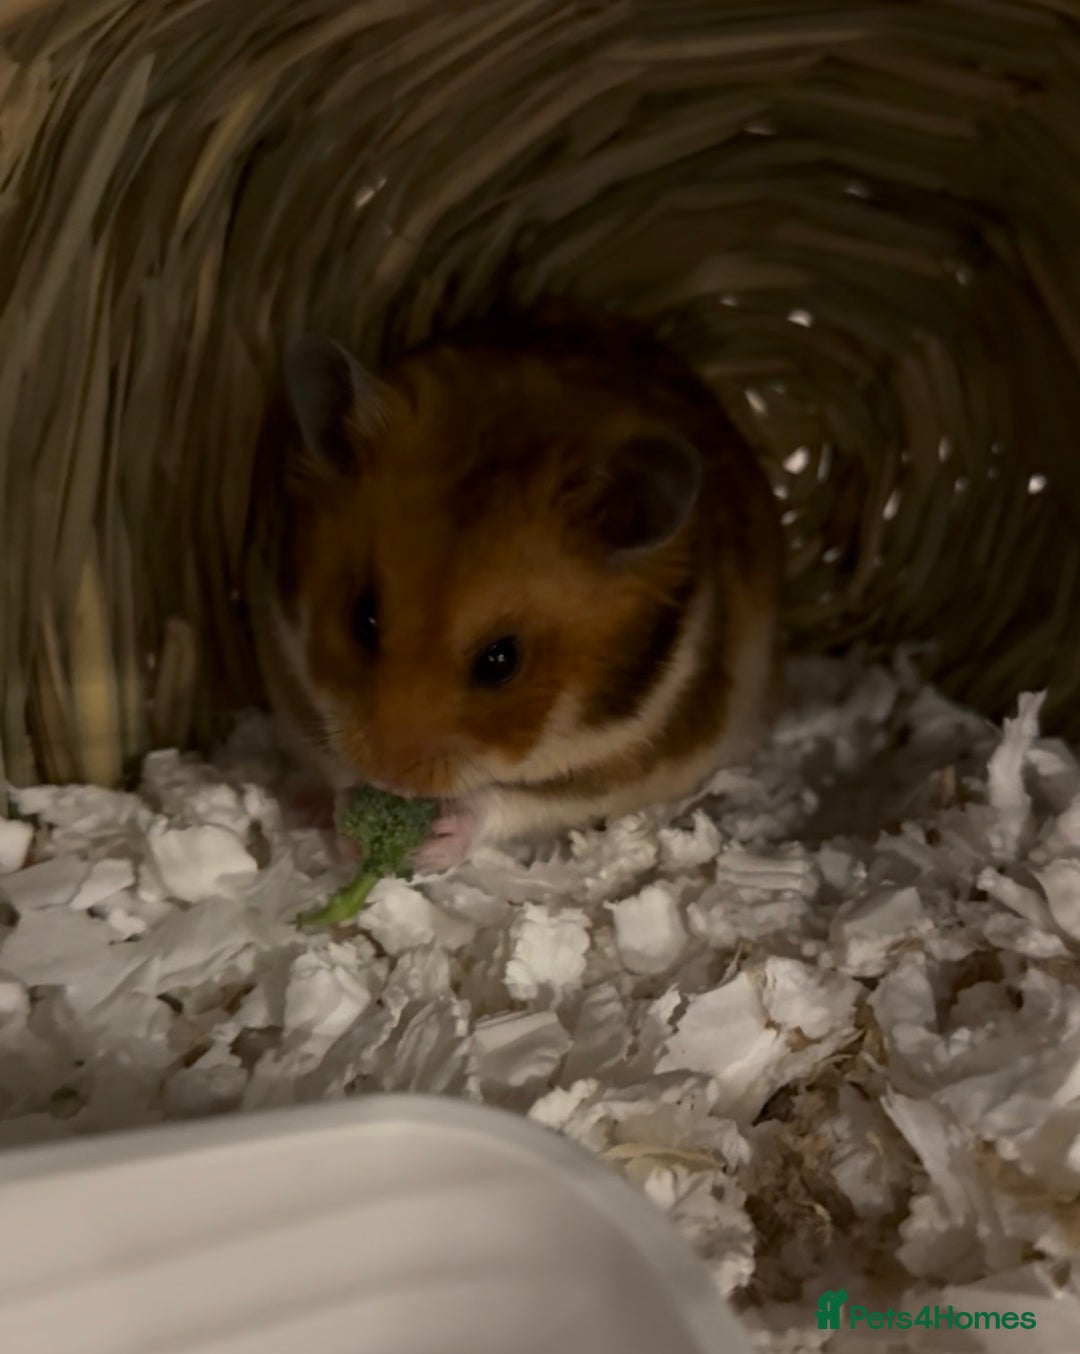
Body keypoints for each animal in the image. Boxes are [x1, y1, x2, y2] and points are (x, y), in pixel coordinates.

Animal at [252, 305, 784, 872]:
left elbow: (516, 799)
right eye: (363, 621)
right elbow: (333, 763)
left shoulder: (629, 761)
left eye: (501, 661)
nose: (389, 777)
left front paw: (435, 840)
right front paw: (349, 828)